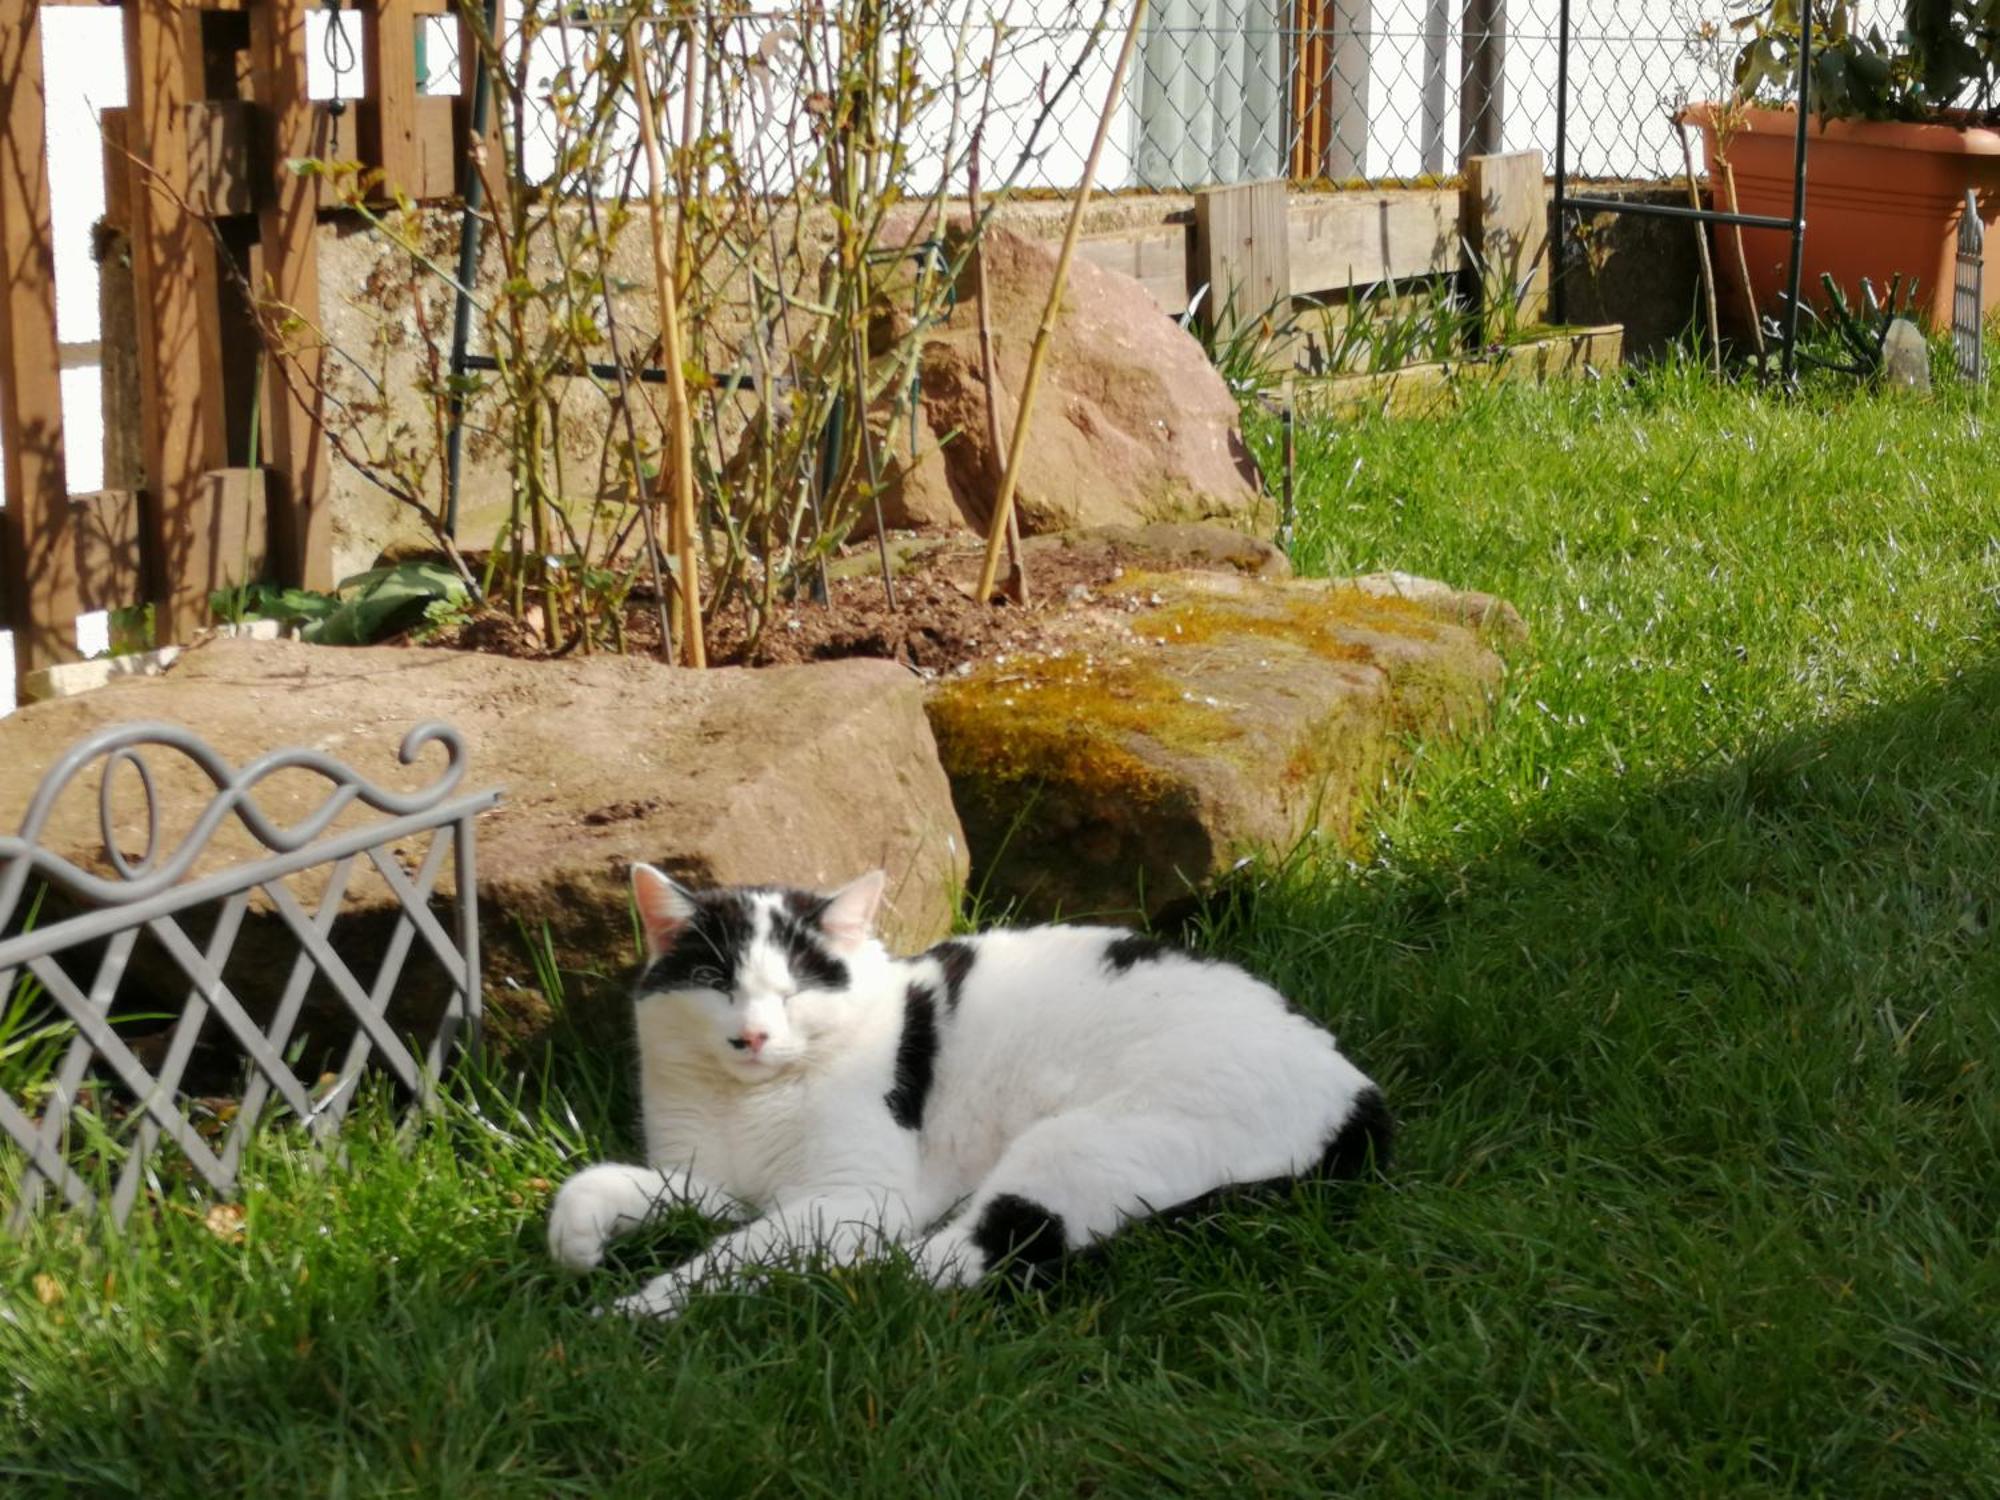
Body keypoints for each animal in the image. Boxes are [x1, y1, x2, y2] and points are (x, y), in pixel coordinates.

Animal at [548, 864, 1392, 1320]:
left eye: (792, 992)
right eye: (715, 983)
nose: (751, 1037)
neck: (745, 1102)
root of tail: (1354, 1086)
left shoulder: (853, 1195)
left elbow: (733, 1251)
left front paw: (640, 1307)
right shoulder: (717, 1182)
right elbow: (611, 1184)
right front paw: (579, 1236)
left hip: (1086, 1140)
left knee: (963, 1256)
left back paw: (847, 1280)